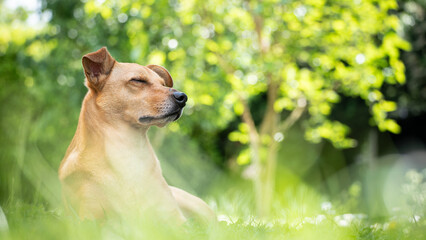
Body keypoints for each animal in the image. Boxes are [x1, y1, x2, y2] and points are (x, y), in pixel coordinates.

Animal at [58, 46, 215, 225]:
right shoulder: (89, 219)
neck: (130, 150)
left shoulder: (174, 219)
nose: (183, 97)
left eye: (162, 84)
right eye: (138, 80)